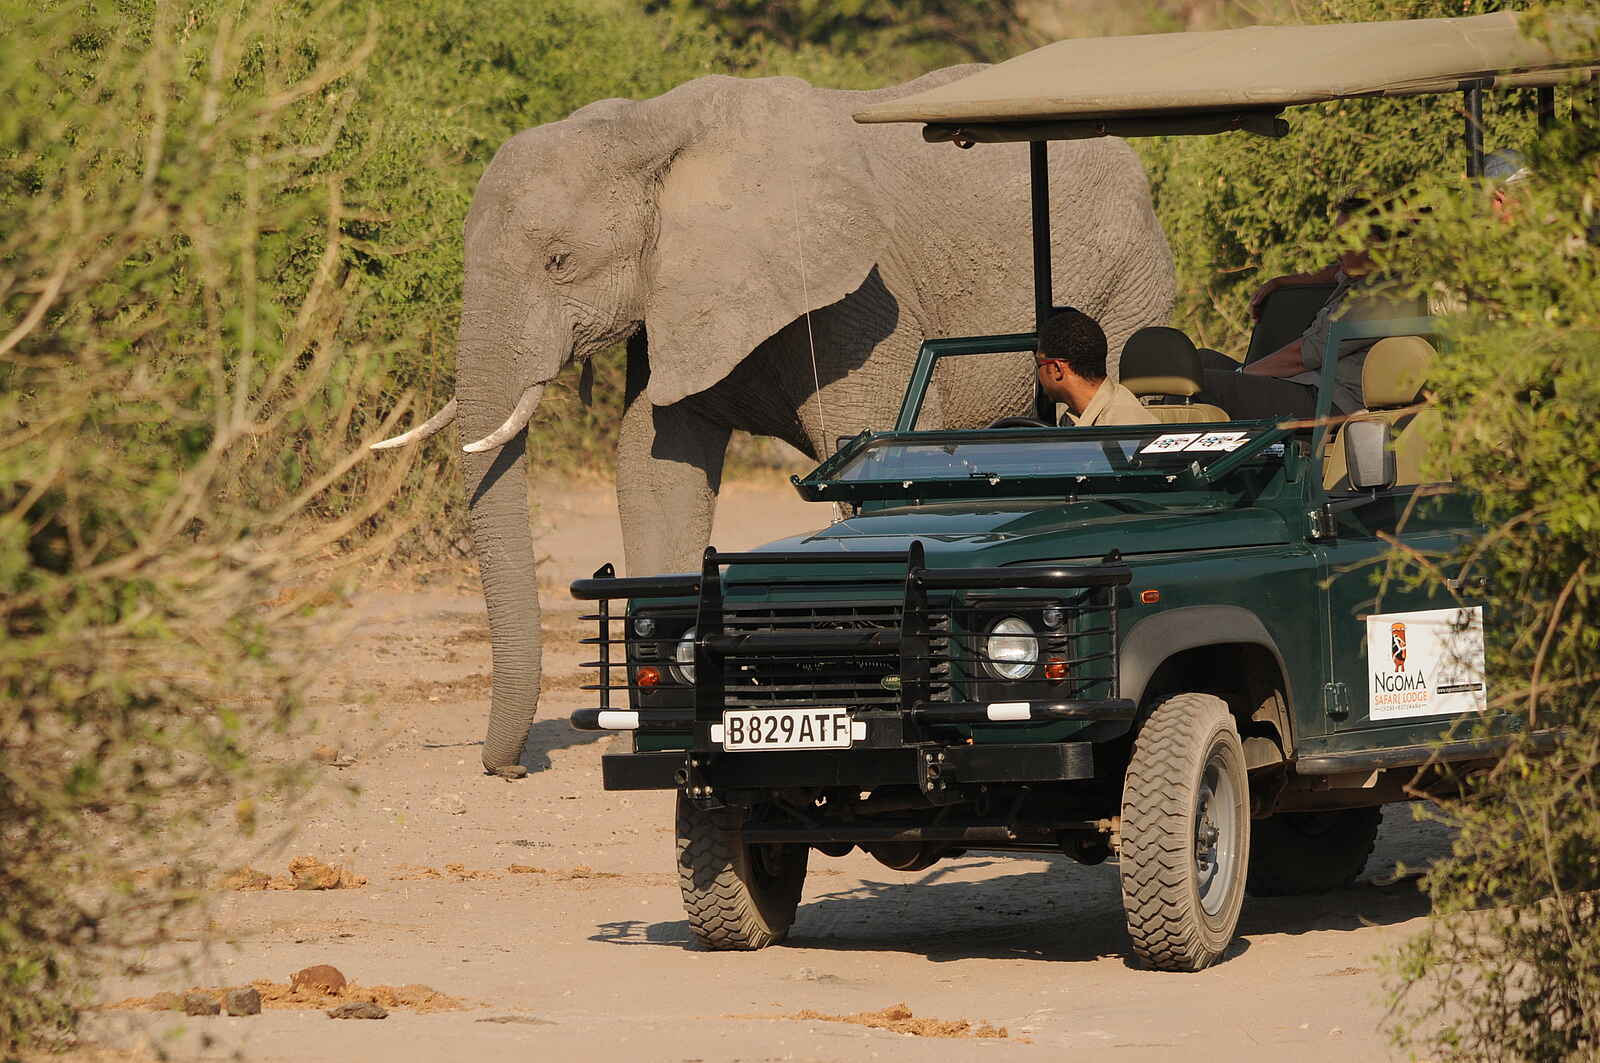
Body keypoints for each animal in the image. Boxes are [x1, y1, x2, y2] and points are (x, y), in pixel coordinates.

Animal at [372, 67, 1175, 777]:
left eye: (559, 261)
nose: (507, 769)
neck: (653, 129)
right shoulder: (676, 291)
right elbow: (653, 465)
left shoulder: (861, 302)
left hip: (1131, 281)